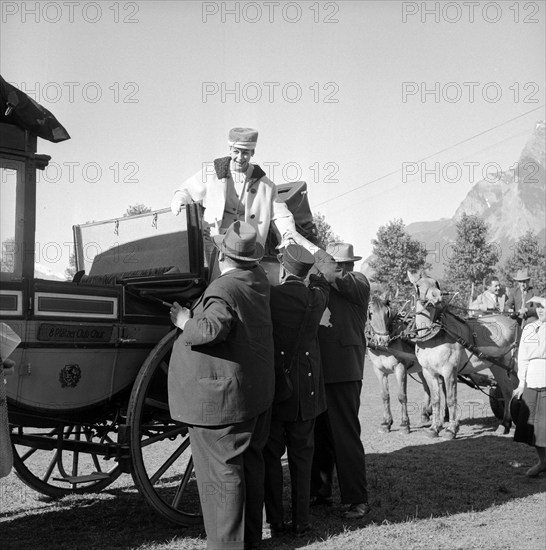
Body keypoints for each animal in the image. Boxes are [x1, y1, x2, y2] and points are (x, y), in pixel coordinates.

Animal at [364, 296, 444, 434]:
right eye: (371, 313)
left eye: (388, 313)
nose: (383, 340)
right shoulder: (379, 371)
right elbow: (385, 396)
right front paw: (386, 423)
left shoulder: (400, 367)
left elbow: (402, 396)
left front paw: (404, 424)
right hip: (422, 369)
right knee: (427, 388)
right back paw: (425, 413)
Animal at [406, 274, 516, 442]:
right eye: (418, 285)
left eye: (436, 283)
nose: (437, 296)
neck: (433, 336)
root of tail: (512, 320)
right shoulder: (428, 372)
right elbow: (436, 399)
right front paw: (434, 428)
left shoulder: (449, 370)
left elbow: (451, 399)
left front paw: (451, 429)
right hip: (497, 365)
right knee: (507, 390)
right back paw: (505, 424)